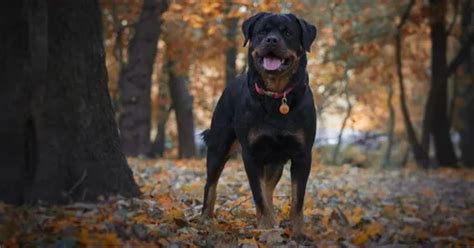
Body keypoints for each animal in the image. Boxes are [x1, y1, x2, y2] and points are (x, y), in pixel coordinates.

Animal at [201, 12, 316, 240]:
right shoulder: (251, 155)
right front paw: (267, 231)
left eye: (287, 33)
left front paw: (297, 232)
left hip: (275, 161)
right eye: (262, 32)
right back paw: (205, 220)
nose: (271, 40)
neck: (276, 96)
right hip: (219, 145)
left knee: (269, 188)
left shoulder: (302, 155)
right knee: (211, 184)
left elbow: (297, 200)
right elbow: (259, 196)